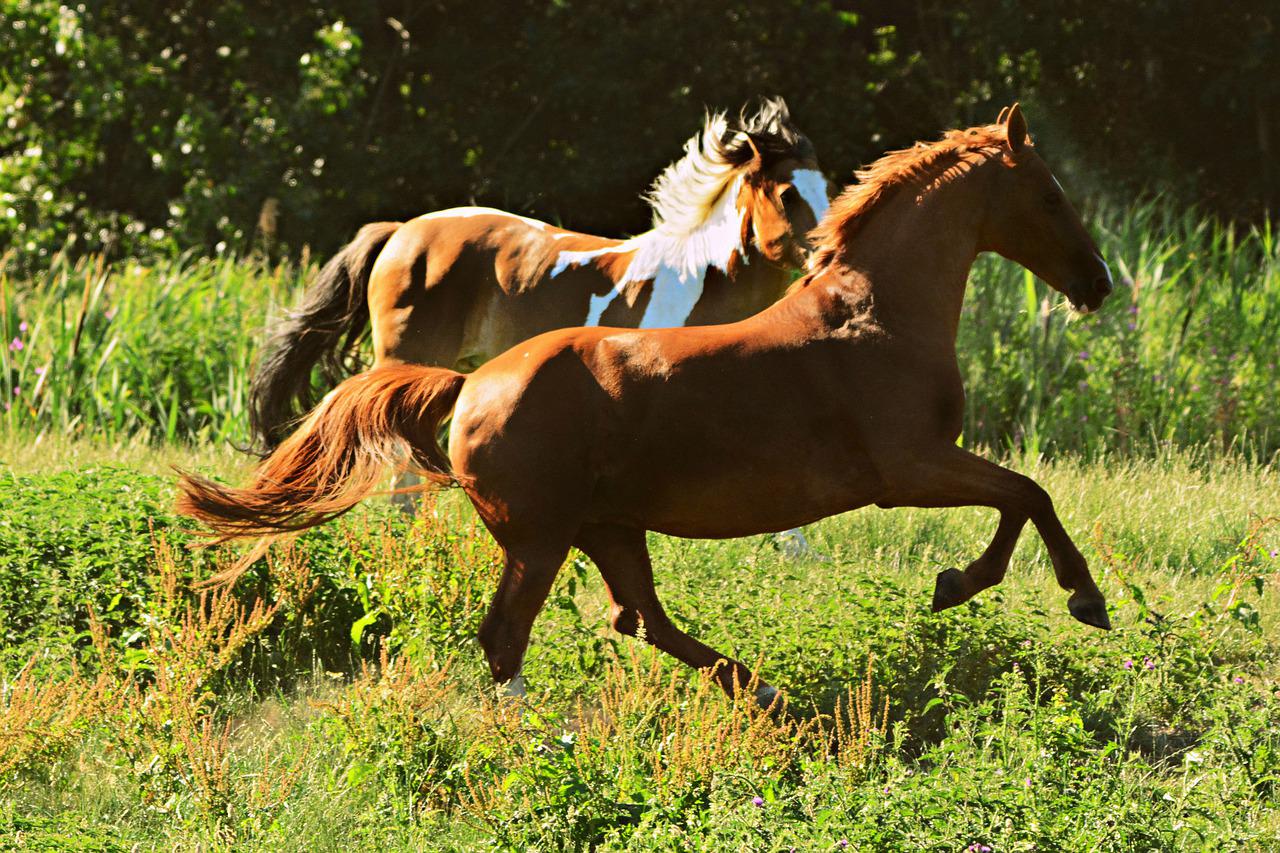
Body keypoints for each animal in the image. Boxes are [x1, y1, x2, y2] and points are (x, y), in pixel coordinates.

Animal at [247, 96, 829, 448]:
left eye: (826, 187)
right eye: (787, 193)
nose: (825, 253)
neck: (699, 283)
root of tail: (402, 232)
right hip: (405, 359)